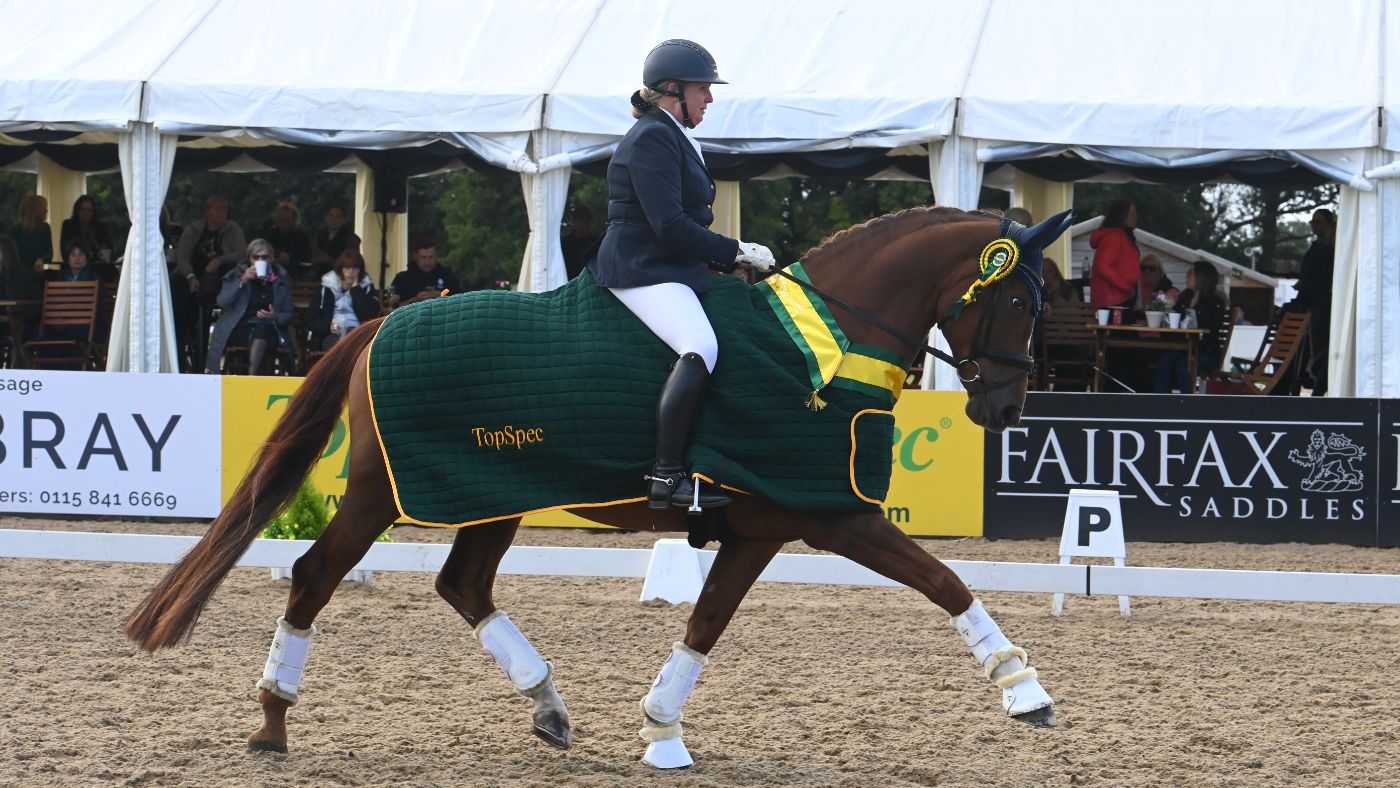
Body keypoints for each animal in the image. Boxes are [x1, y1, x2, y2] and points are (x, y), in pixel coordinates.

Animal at [128, 207, 1069, 767]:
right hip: (379, 495)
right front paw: (1026, 691)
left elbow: (705, 622)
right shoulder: (832, 515)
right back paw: (272, 720)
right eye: (1020, 302)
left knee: (463, 584)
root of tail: (379, 324)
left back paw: (547, 707)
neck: (828, 350)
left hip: (488, 493)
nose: (1004, 407)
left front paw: (661, 729)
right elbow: (946, 580)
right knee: (315, 575)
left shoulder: (763, 527)